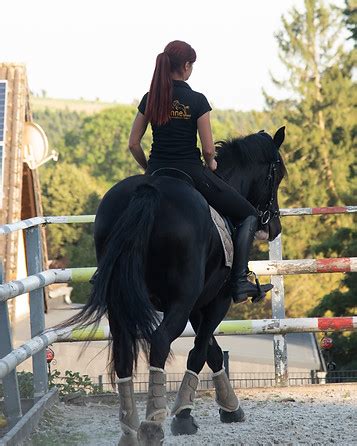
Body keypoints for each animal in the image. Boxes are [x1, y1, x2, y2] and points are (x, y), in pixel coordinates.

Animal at [64, 127, 286, 444]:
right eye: (277, 174)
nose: (274, 227)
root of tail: (149, 191)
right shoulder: (214, 301)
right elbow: (200, 351)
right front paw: (185, 414)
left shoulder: (195, 304)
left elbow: (212, 350)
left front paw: (229, 405)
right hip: (180, 302)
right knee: (160, 342)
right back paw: (152, 424)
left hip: (123, 302)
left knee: (123, 352)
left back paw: (130, 429)